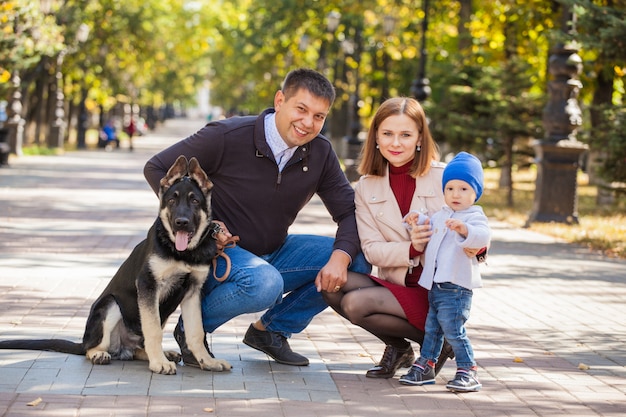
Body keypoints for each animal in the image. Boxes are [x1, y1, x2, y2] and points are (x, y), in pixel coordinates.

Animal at [0, 155, 232, 374]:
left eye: (194, 201)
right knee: (93, 347)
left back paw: (162, 354)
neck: (183, 253)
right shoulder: (148, 285)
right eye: (172, 201)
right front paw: (159, 364)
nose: (181, 223)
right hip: (110, 305)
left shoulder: (193, 291)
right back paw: (102, 354)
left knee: (140, 347)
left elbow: (196, 331)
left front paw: (207, 361)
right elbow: (153, 330)